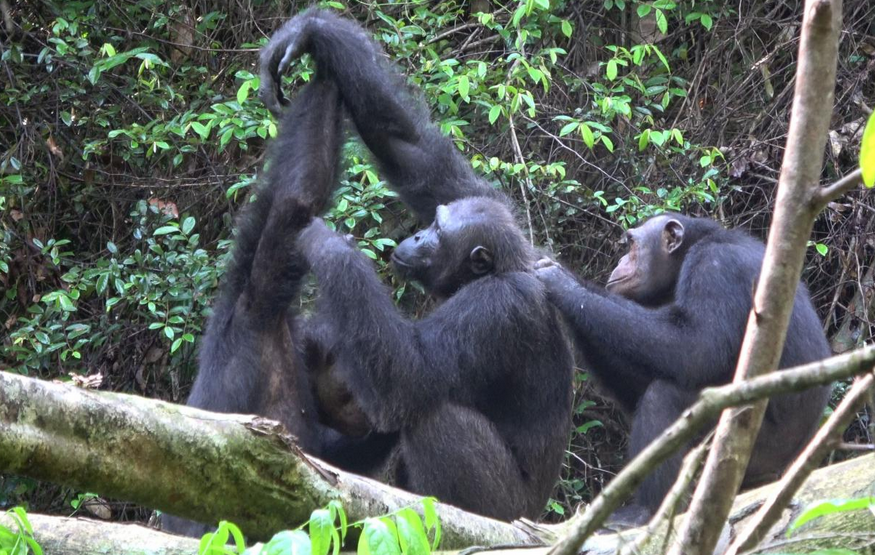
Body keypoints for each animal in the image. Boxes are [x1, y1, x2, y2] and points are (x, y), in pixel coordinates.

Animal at [260, 7, 576, 520]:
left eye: (439, 236)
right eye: (436, 219)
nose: (418, 235)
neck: (502, 268)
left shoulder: (496, 306)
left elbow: (412, 375)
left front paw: (329, 246)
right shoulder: (486, 199)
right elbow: (411, 150)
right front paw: (310, 33)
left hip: (504, 508)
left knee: (435, 414)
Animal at [532, 214, 836, 524]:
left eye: (631, 245)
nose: (620, 260)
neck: (694, 245)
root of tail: (784, 468)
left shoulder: (715, 267)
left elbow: (696, 347)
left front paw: (562, 282)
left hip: (750, 446)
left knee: (664, 397)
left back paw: (644, 511)